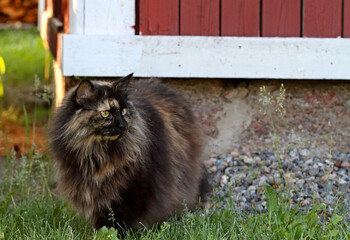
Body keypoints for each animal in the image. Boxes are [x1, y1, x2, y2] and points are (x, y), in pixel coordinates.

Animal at [48, 73, 209, 232]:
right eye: (105, 113)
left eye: (123, 111)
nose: (123, 125)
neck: (98, 153)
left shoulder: (132, 187)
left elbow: (119, 218)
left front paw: (114, 233)